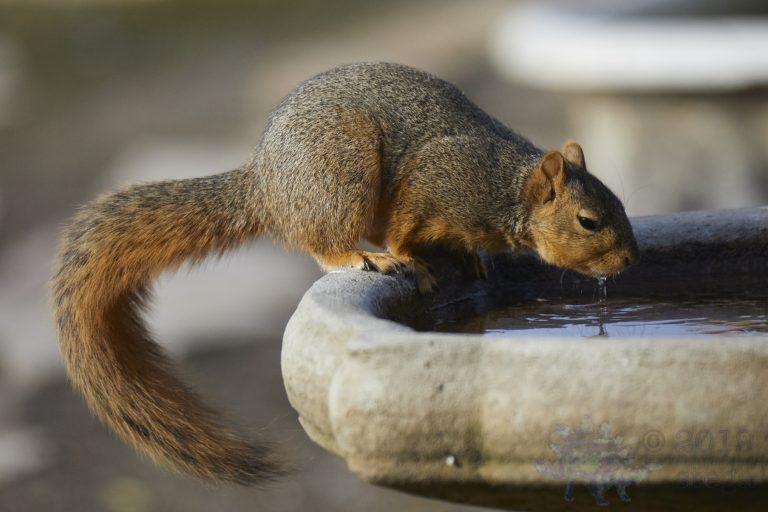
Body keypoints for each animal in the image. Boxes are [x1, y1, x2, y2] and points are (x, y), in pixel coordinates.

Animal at [51, 62, 638, 485]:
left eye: (618, 198)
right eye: (588, 221)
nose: (631, 261)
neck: (506, 191)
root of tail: (267, 182)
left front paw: (474, 258)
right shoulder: (432, 184)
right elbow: (404, 229)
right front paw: (412, 261)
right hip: (341, 172)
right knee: (321, 241)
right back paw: (361, 258)